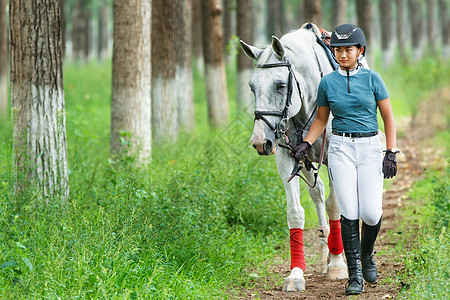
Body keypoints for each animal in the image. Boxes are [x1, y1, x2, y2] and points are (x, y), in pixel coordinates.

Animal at [239, 24, 348, 292]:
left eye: (280, 85)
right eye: (252, 87)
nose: (260, 141)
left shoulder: (334, 157)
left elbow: (335, 205)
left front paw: (338, 265)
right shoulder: (287, 158)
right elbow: (295, 212)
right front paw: (296, 274)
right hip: (307, 162)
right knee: (317, 192)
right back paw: (326, 253)